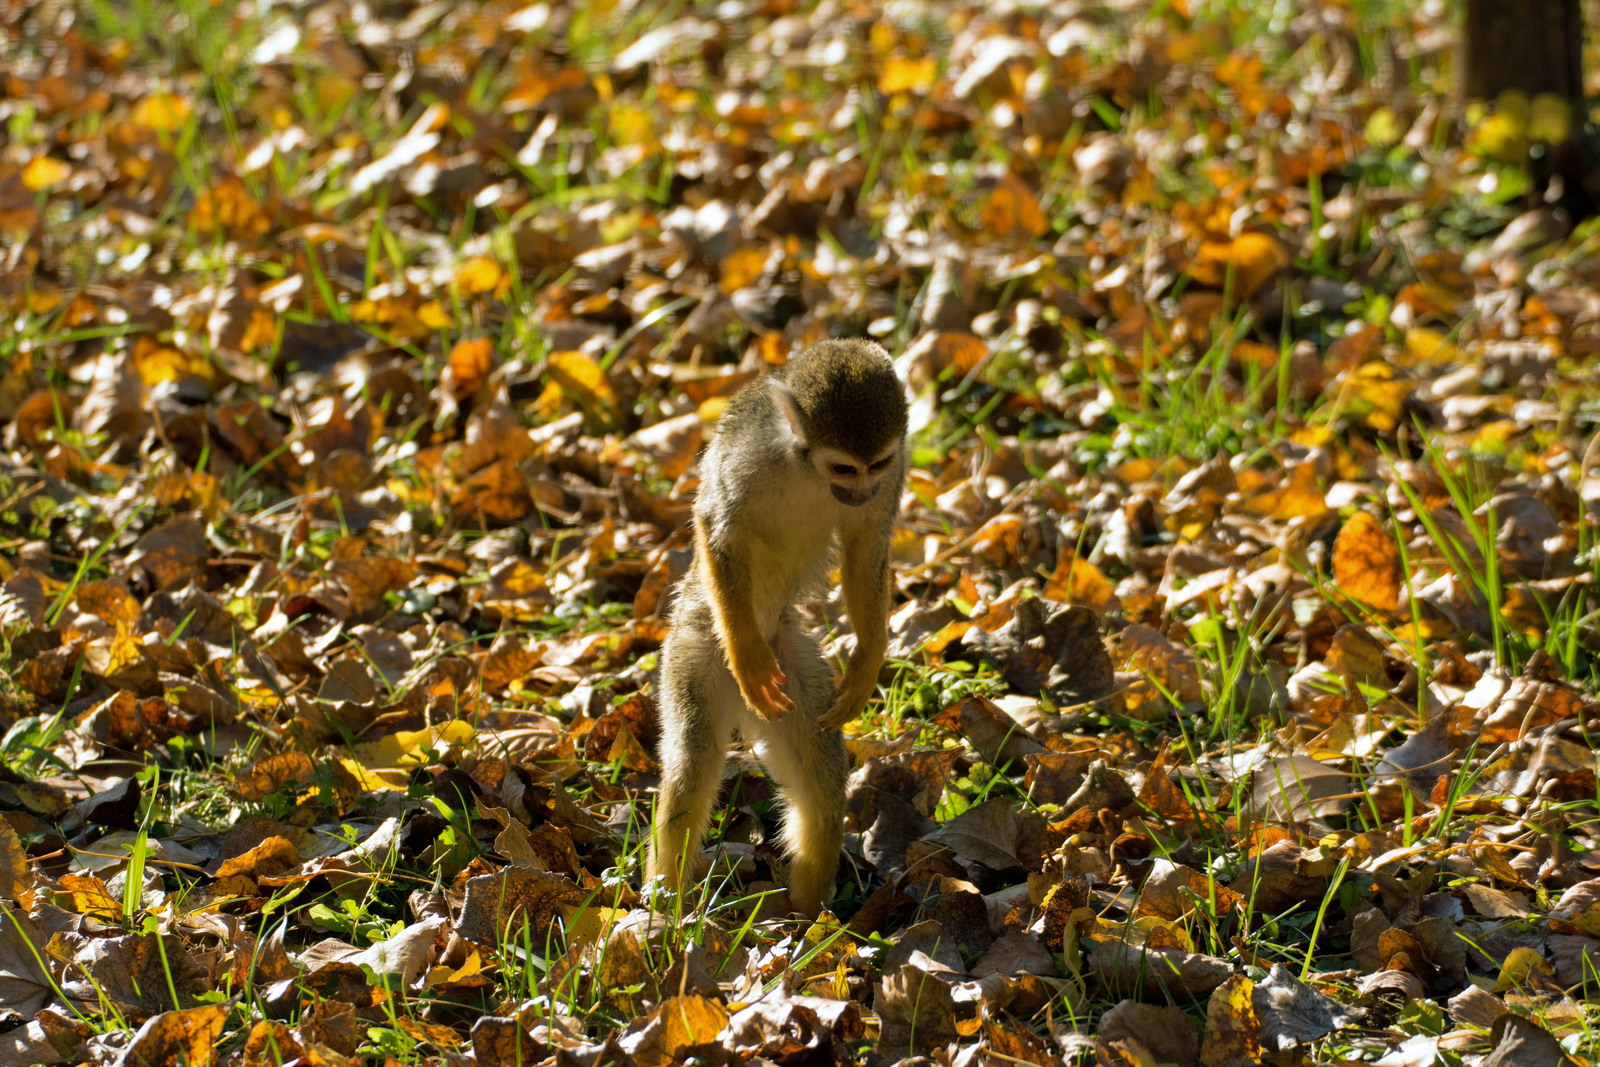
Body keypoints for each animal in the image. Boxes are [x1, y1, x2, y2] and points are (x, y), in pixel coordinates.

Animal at [643, 337, 908, 915]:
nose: (861, 491)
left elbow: (866, 547)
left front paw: (868, 659)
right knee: (693, 760)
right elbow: (717, 525)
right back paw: (665, 905)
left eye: (875, 464)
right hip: (694, 648)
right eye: (844, 469)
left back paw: (808, 913)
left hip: (792, 659)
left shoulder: (894, 474)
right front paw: (745, 654)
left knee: (821, 783)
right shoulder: (748, 455)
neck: (806, 471)